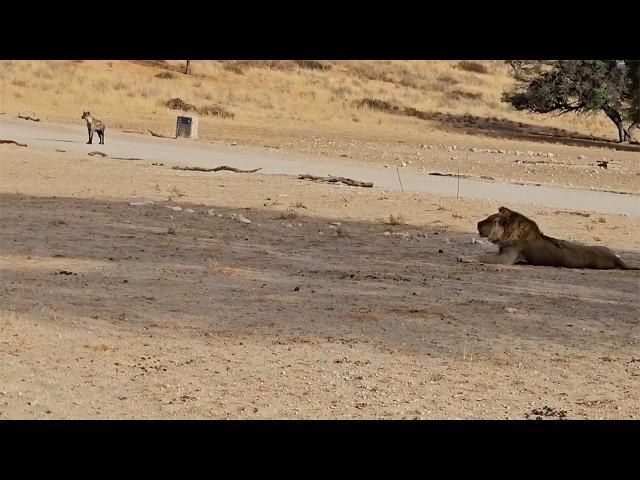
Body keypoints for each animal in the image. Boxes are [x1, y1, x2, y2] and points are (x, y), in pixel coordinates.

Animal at [458, 206, 636, 270]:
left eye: (488, 219)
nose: (477, 223)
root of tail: (615, 257)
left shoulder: (506, 258)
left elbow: (482, 255)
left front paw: (465, 258)